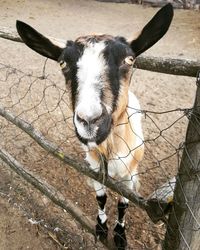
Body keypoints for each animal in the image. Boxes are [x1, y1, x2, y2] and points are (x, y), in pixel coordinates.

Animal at [16, 3, 173, 248]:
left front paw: (120, 236)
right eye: (63, 63)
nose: (89, 120)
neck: (110, 147)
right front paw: (101, 228)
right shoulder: (93, 167)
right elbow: (101, 198)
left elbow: (123, 203)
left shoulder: (129, 174)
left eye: (129, 60)